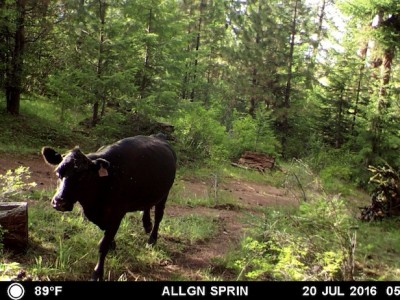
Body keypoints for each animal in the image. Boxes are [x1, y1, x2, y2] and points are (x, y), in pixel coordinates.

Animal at [41, 136, 177, 282]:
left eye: (82, 176)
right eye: (58, 172)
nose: (59, 202)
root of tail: (157, 136)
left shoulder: (117, 213)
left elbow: (103, 245)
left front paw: (97, 273)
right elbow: (105, 233)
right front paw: (113, 245)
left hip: (164, 194)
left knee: (158, 215)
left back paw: (152, 240)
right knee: (147, 206)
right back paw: (147, 225)